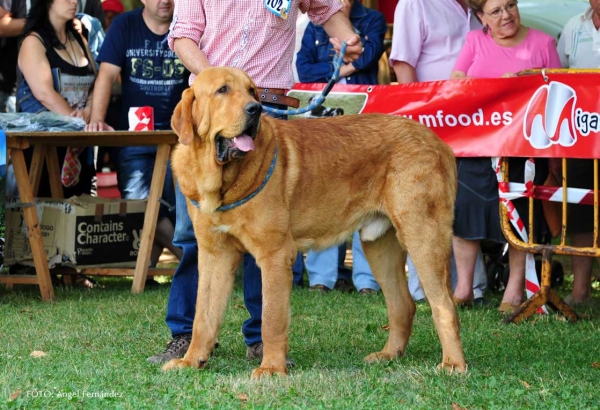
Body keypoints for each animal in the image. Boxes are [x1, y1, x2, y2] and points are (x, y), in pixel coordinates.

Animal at [165, 66, 468, 378]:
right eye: (222, 90)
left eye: (251, 92)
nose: (255, 109)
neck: (221, 181)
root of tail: (439, 142)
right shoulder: (215, 255)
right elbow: (203, 315)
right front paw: (191, 361)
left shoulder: (275, 255)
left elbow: (271, 319)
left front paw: (271, 368)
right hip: (379, 246)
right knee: (403, 304)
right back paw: (389, 355)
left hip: (422, 237)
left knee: (444, 305)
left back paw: (453, 364)